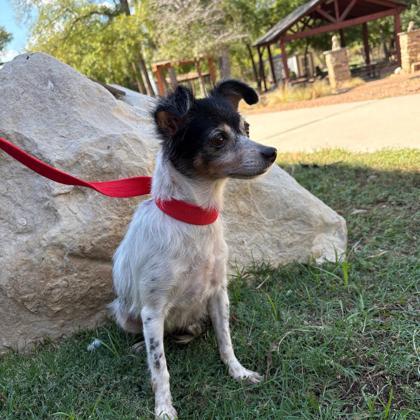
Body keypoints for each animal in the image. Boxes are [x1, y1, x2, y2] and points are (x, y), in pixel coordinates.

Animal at [110, 80, 278, 418]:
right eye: (219, 138)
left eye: (246, 128)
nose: (271, 152)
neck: (193, 220)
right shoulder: (152, 311)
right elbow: (159, 367)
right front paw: (164, 408)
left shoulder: (218, 294)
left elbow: (225, 340)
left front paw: (238, 373)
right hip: (125, 313)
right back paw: (141, 346)